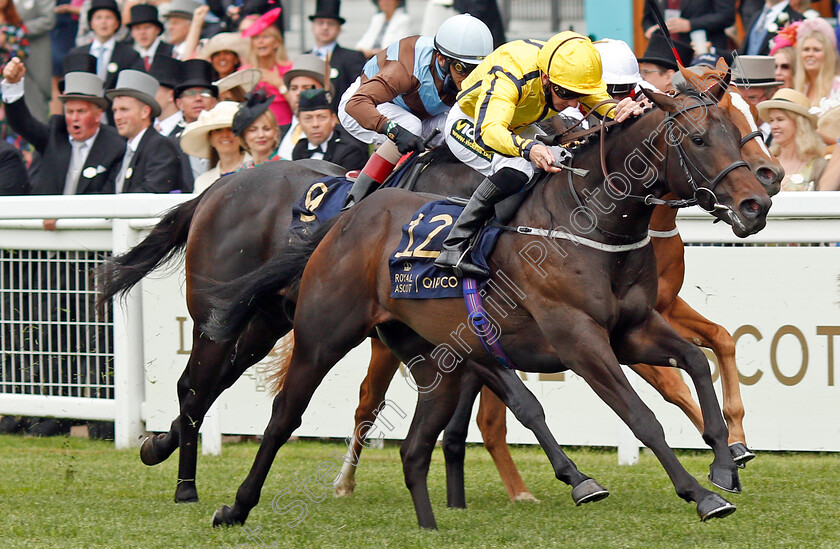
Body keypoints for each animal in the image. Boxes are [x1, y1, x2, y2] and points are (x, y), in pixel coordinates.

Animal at [207, 84, 772, 528]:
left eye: (739, 129)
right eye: (698, 139)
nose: (757, 203)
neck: (586, 225)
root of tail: (346, 216)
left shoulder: (633, 328)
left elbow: (696, 361)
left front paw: (725, 462)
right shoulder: (579, 339)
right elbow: (641, 416)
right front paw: (700, 495)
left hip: (435, 355)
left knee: (428, 431)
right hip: (322, 336)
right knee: (287, 416)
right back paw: (237, 506)